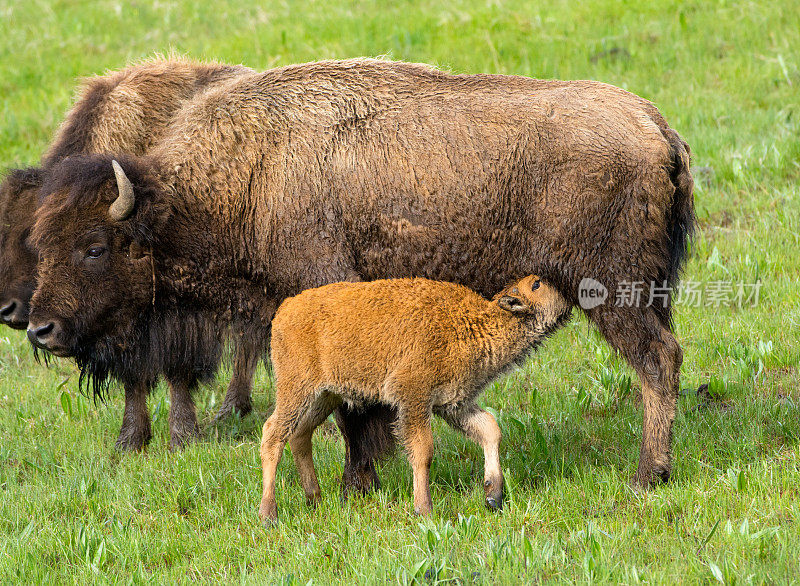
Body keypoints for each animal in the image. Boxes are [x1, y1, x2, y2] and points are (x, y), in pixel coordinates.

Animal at [28, 58, 692, 488]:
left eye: (94, 247)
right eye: (39, 241)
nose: (40, 330)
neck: (243, 179)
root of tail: (655, 126)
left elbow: (351, 408)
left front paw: (357, 482)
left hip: (613, 290)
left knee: (657, 360)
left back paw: (647, 475)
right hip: (651, 288)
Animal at [260, 274, 572, 520]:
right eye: (536, 284)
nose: (567, 296)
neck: (473, 321)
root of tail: (285, 310)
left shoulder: (454, 404)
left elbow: (490, 429)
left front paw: (493, 496)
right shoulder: (414, 398)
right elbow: (423, 451)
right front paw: (424, 509)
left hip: (324, 396)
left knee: (299, 434)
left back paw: (314, 498)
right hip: (295, 389)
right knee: (273, 435)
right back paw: (268, 514)